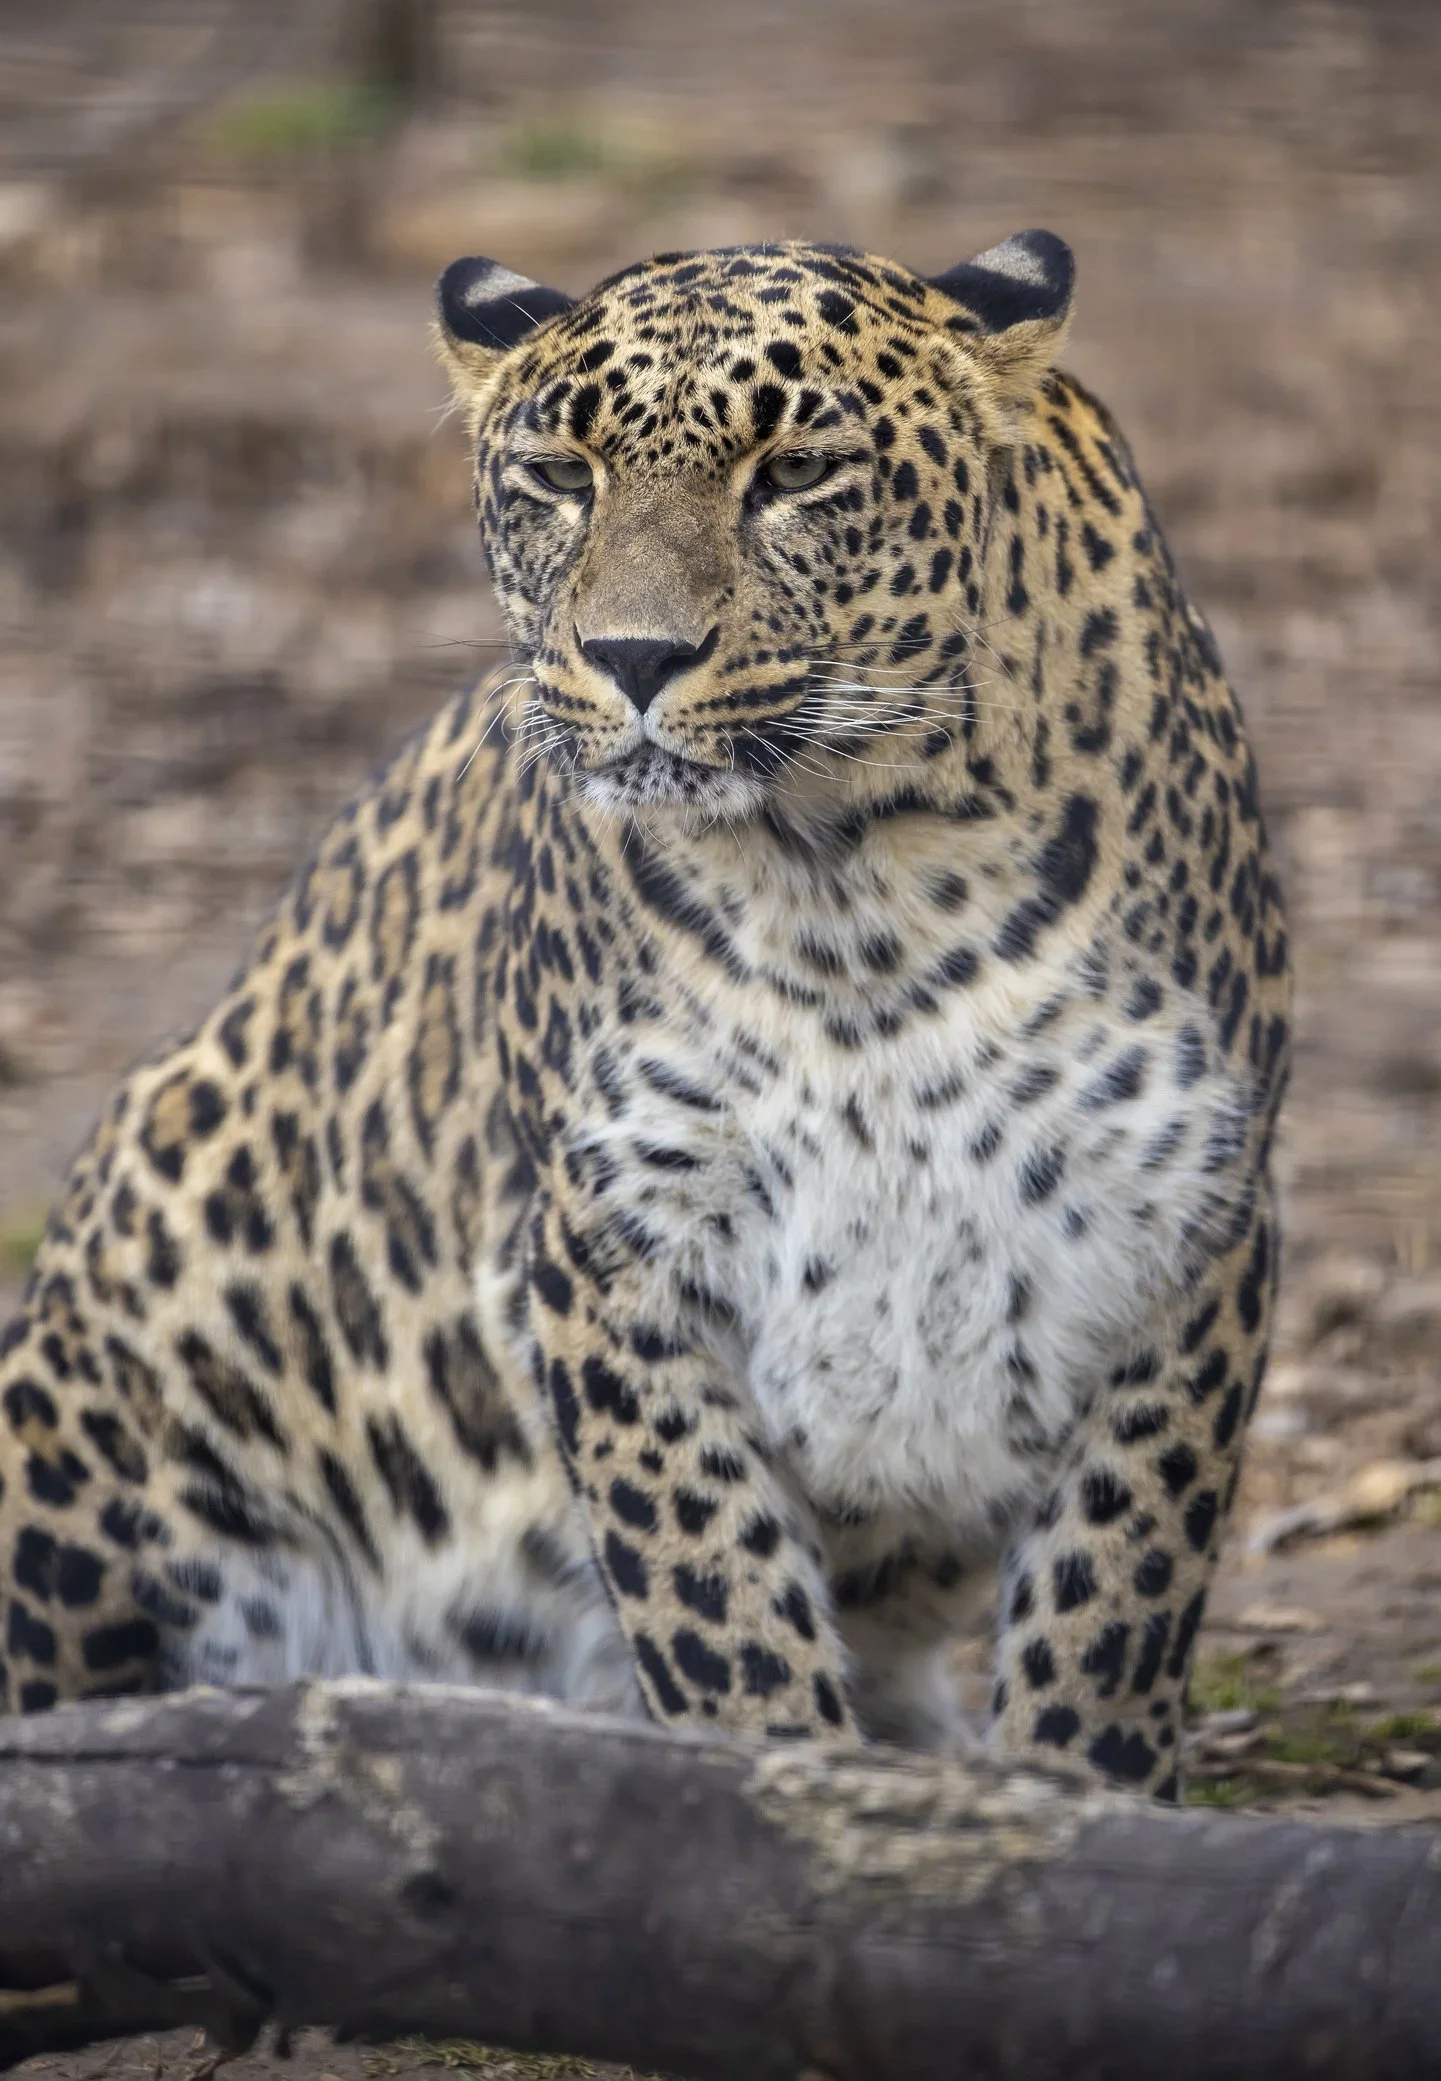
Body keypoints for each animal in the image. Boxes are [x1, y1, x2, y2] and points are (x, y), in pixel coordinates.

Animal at [0, 230, 1290, 1798]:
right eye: (561, 475)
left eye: (797, 471)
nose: (631, 655)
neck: (858, 894)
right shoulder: (617, 1249)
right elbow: (720, 1608)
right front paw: (775, 1798)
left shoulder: (1184, 1234)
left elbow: (1110, 1609)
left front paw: (1065, 1806)